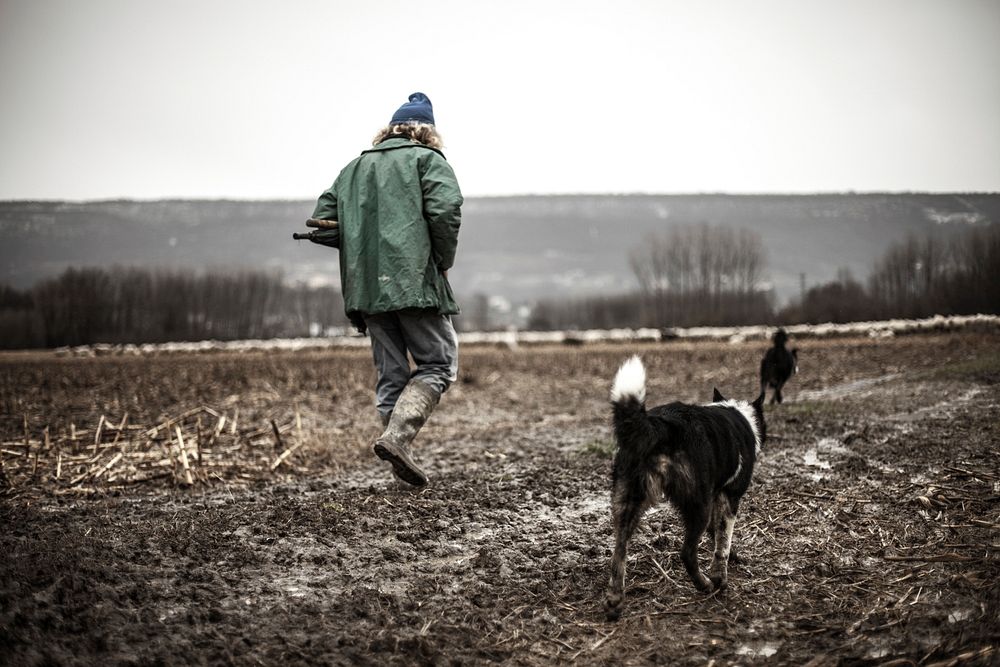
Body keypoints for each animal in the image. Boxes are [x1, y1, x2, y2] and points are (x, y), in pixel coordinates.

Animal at [600, 358, 764, 624]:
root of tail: (661, 426)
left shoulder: (717, 498)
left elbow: (717, 535)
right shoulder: (729, 497)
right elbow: (723, 542)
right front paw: (720, 577)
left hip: (627, 502)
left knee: (618, 554)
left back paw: (614, 601)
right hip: (698, 506)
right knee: (687, 553)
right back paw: (705, 585)